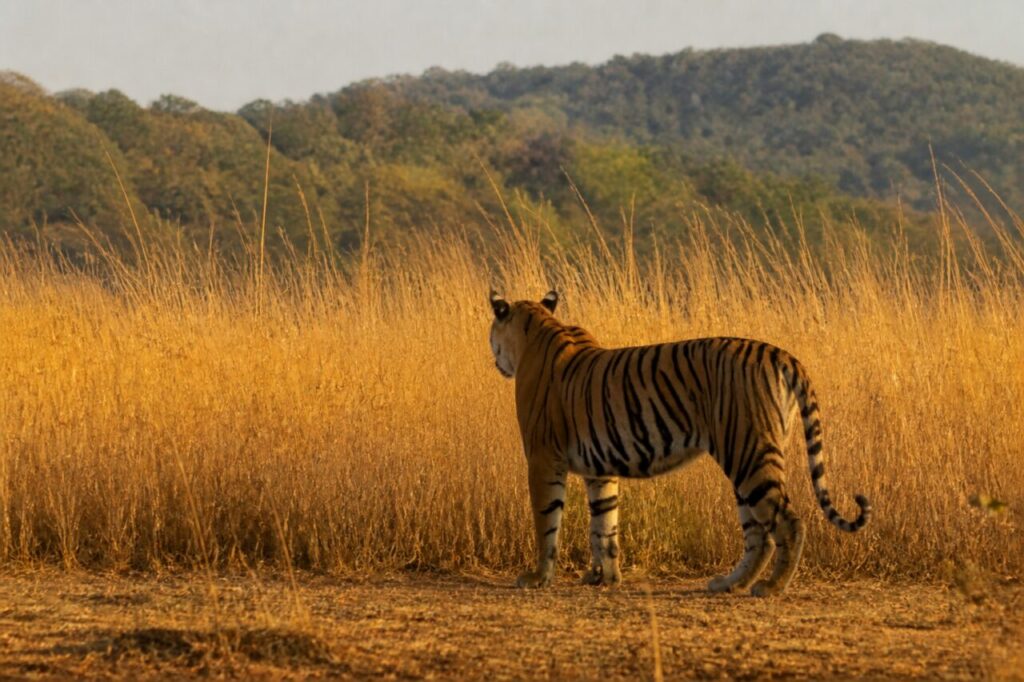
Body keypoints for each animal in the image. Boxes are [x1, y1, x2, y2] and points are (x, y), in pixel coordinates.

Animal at [488, 290, 870, 596]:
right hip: (746, 459)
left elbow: (546, 521)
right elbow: (604, 524)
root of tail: (781, 354)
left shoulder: (543, 459)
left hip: (750, 453)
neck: (537, 329)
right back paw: (729, 584)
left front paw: (537, 577)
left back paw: (770, 587)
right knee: (758, 534)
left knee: (788, 523)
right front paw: (604, 577)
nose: (495, 360)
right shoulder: (600, 469)